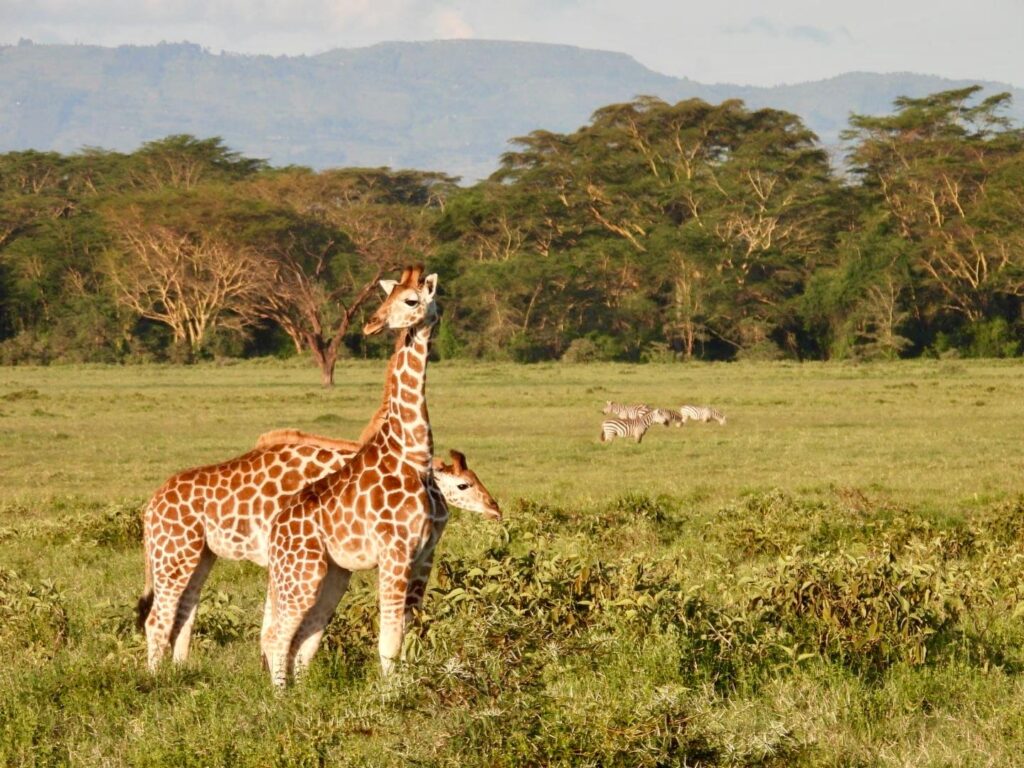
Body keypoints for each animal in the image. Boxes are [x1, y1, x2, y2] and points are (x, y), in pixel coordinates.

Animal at [261, 267, 445, 686]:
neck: (415, 455)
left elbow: (407, 634)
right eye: (385, 297)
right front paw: (390, 695)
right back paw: (279, 696)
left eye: (411, 300)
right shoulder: (394, 553)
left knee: (305, 636)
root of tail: (276, 529)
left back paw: (302, 693)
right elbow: (389, 640)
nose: (372, 323)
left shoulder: (424, 556)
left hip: (333, 575)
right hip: (302, 571)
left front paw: (406, 686)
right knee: (278, 634)